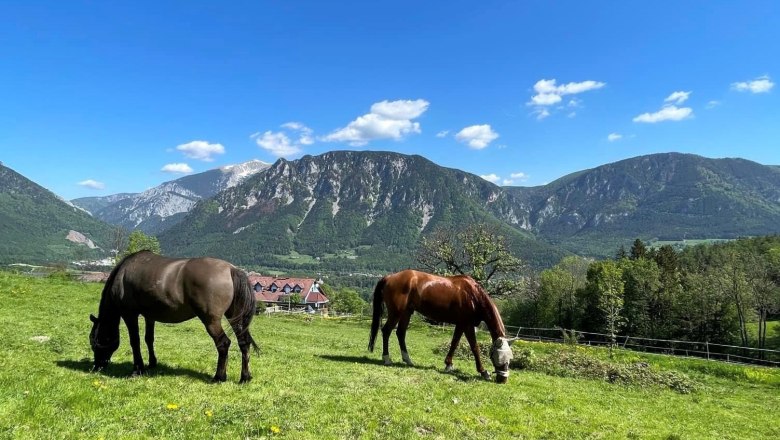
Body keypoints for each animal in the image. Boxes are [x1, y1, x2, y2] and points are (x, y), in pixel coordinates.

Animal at [88, 251, 258, 382]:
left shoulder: (129, 314)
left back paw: (219, 377)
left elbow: (135, 341)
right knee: (244, 342)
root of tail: (231, 269)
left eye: (95, 342)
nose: (97, 367)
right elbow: (149, 339)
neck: (122, 274)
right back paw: (245, 377)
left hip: (211, 320)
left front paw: (137, 369)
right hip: (235, 317)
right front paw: (152, 363)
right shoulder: (150, 316)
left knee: (223, 343)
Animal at [368, 268, 516, 382]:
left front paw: (448, 365)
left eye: (510, 359)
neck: (473, 295)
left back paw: (408, 359)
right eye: (497, 357)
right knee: (386, 331)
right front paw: (483, 372)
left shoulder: (461, 324)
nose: (503, 379)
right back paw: (387, 359)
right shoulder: (467, 325)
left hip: (406, 312)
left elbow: (454, 343)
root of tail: (389, 277)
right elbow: (474, 347)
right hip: (396, 313)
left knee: (400, 333)